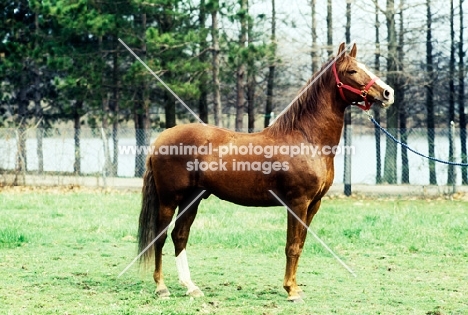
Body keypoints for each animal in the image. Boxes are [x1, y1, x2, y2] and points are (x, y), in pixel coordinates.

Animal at [137, 43, 394, 302]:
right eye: (352, 71)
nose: (388, 93)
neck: (307, 139)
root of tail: (161, 139)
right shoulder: (298, 203)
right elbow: (292, 246)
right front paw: (291, 291)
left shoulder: (313, 205)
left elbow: (300, 245)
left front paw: (295, 287)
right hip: (169, 199)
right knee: (160, 237)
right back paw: (162, 287)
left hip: (192, 198)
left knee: (180, 236)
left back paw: (191, 287)